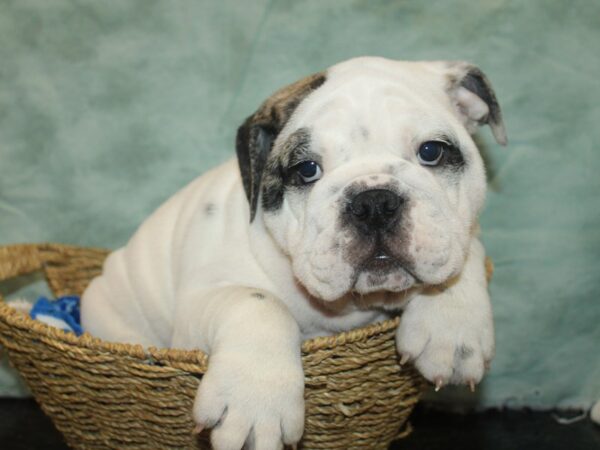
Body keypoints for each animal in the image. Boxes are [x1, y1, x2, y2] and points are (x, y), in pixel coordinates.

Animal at [81, 56, 506, 450]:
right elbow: (259, 303)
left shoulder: (460, 234)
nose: (374, 203)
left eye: (432, 152)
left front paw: (452, 327)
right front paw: (254, 402)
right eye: (307, 170)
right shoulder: (200, 303)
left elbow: (462, 252)